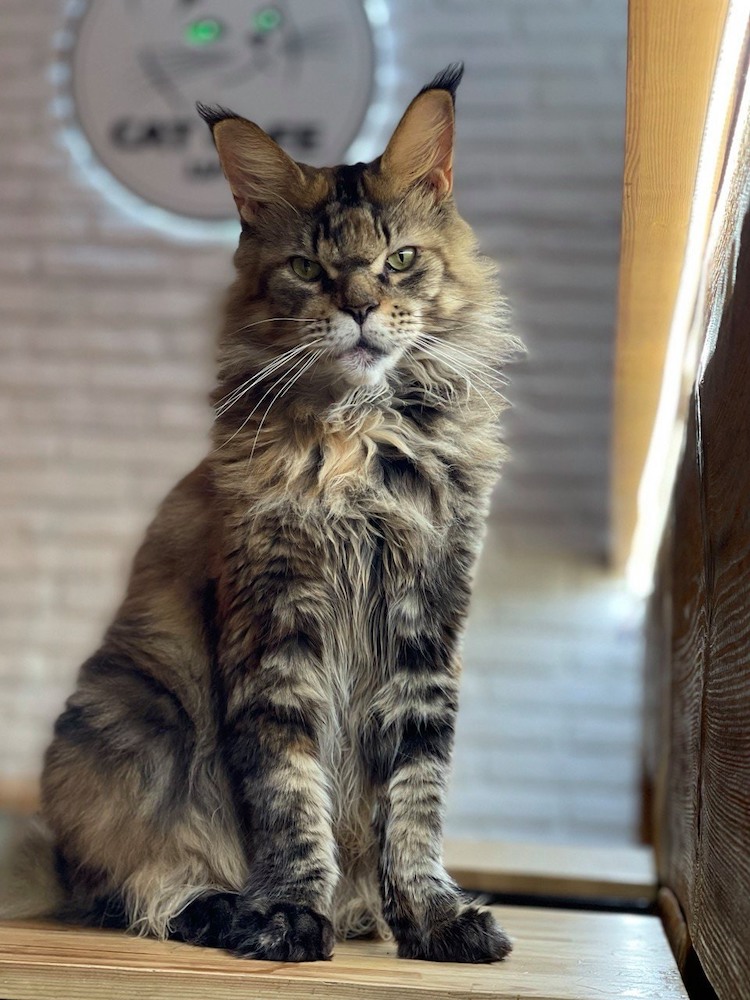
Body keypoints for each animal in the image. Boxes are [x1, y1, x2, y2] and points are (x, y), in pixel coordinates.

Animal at [22, 60, 524, 960]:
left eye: (399, 260)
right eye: (308, 269)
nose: (359, 308)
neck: (363, 440)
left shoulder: (424, 622)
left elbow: (414, 801)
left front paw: (432, 917)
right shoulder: (276, 626)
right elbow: (292, 797)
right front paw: (289, 913)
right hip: (134, 718)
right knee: (128, 887)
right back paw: (219, 909)